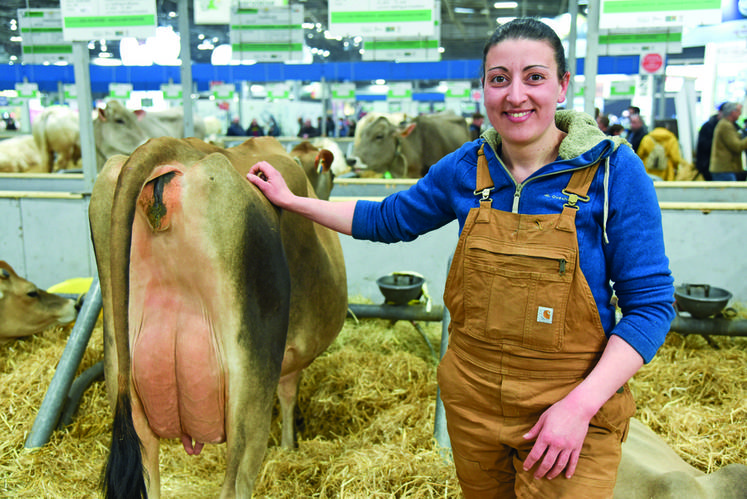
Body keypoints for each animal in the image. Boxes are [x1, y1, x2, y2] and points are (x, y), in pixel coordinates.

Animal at [88, 135, 347, 498]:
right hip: (249, 385)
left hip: (120, 370)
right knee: (236, 482)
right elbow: (289, 395)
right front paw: (289, 445)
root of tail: (176, 147)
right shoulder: (288, 357)